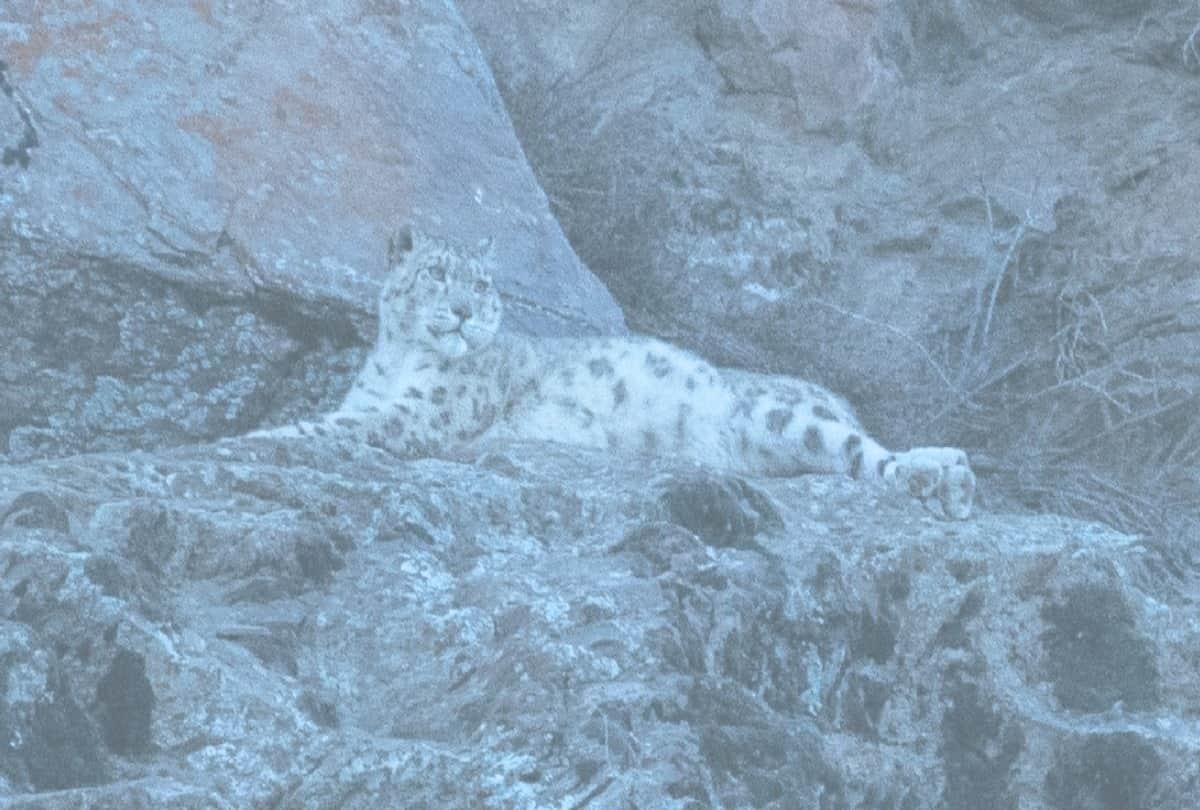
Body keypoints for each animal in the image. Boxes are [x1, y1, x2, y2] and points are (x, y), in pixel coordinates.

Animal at [251, 225, 976, 519]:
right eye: (436, 273)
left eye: (481, 283)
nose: (462, 311)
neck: (399, 355)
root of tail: (832, 393)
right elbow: (345, 417)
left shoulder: (427, 411)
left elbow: (344, 426)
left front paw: (258, 438)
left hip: (778, 415)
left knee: (868, 453)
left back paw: (947, 481)